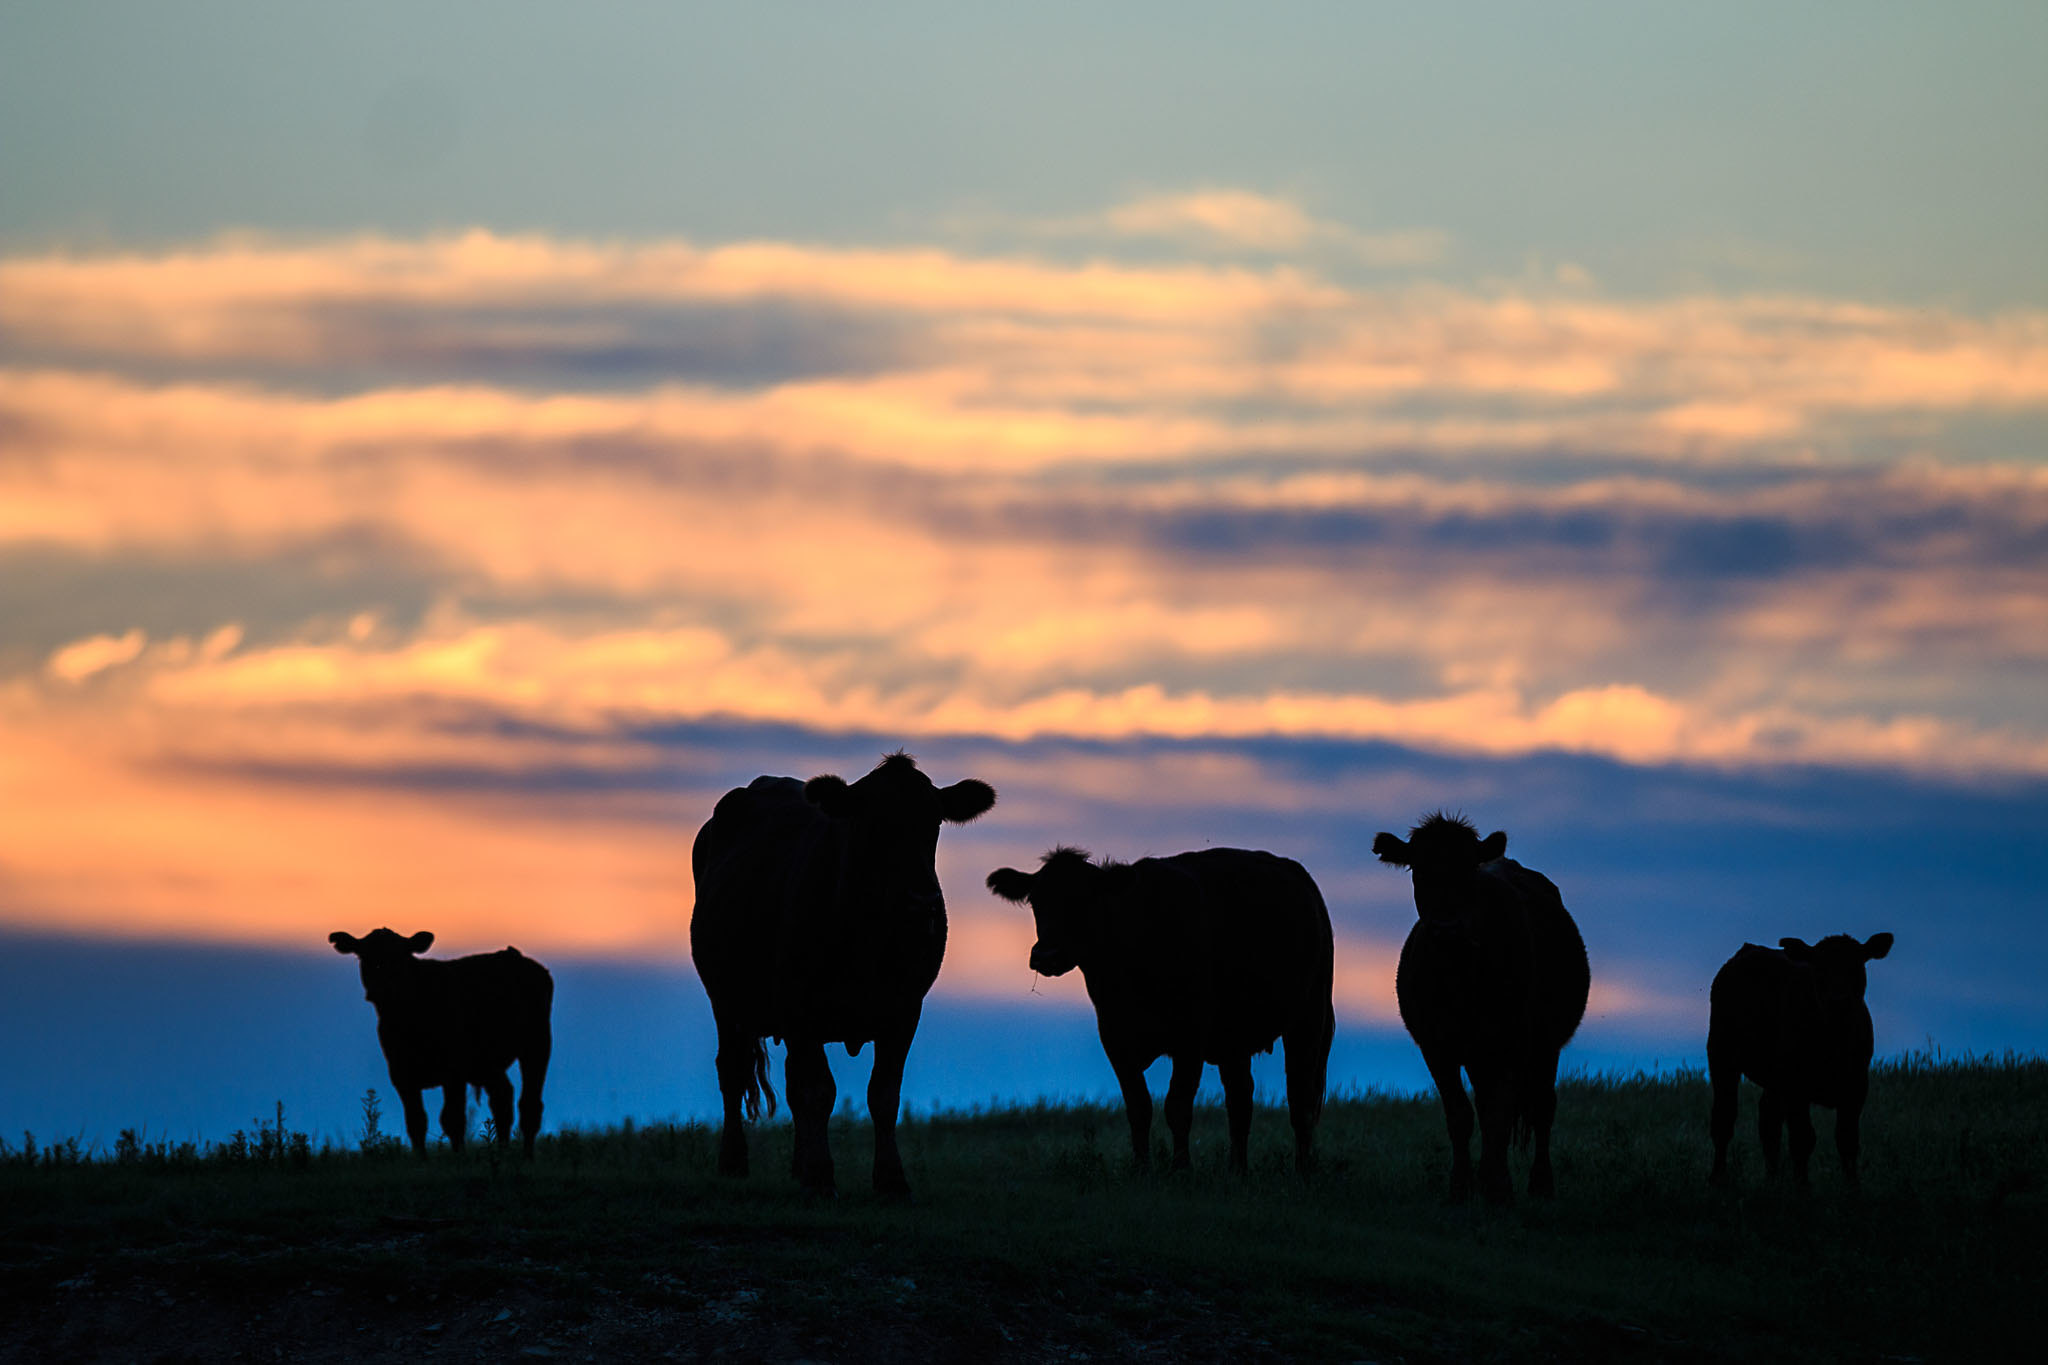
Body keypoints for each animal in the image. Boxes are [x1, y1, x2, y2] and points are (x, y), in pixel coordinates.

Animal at [327, 929, 552, 1154]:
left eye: (401, 956)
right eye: (364, 956)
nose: (382, 988)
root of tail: (514, 955)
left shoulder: (454, 1071)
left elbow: (453, 1120)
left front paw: (459, 1157)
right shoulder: (401, 1075)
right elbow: (416, 1122)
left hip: (537, 1045)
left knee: (529, 1105)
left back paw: (526, 1155)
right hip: (488, 1064)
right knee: (502, 1098)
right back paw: (502, 1151)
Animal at [696, 753, 999, 1203]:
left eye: (935, 822)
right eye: (873, 824)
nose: (923, 901)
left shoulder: (904, 1010)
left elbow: (883, 1094)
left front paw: (891, 1180)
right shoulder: (800, 1007)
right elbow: (819, 1092)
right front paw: (823, 1177)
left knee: (790, 1083)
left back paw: (798, 1167)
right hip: (726, 1000)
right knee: (733, 1071)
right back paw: (733, 1162)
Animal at [983, 843, 1335, 1178]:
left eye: (1085, 900)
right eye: (1036, 901)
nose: (1046, 955)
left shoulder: (1191, 1035)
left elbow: (1177, 1105)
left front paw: (1181, 1168)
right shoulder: (1115, 1036)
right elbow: (1138, 1106)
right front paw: (1141, 1167)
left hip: (1309, 1017)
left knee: (1300, 1098)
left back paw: (1301, 1169)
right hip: (1234, 1037)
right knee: (1240, 1098)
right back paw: (1237, 1170)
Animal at [1384, 818, 1589, 1203]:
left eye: (1469, 870)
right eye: (1419, 869)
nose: (1447, 928)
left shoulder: (1513, 1041)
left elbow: (1500, 1115)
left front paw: (1499, 1188)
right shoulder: (1437, 1046)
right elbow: (1460, 1115)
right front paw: (1461, 1187)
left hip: (1544, 1045)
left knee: (1542, 1105)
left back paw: (1541, 1184)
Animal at [1703, 933, 1892, 1186]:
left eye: (1856, 966)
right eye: (1819, 969)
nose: (1838, 1000)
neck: (1835, 1042)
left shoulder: (1857, 1087)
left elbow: (1848, 1141)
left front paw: (1853, 1187)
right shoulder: (1796, 1087)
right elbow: (1803, 1139)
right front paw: (1802, 1187)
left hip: (1773, 1078)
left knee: (1769, 1121)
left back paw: (1771, 1180)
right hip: (1721, 1054)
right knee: (1724, 1118)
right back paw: (1717, 1177)